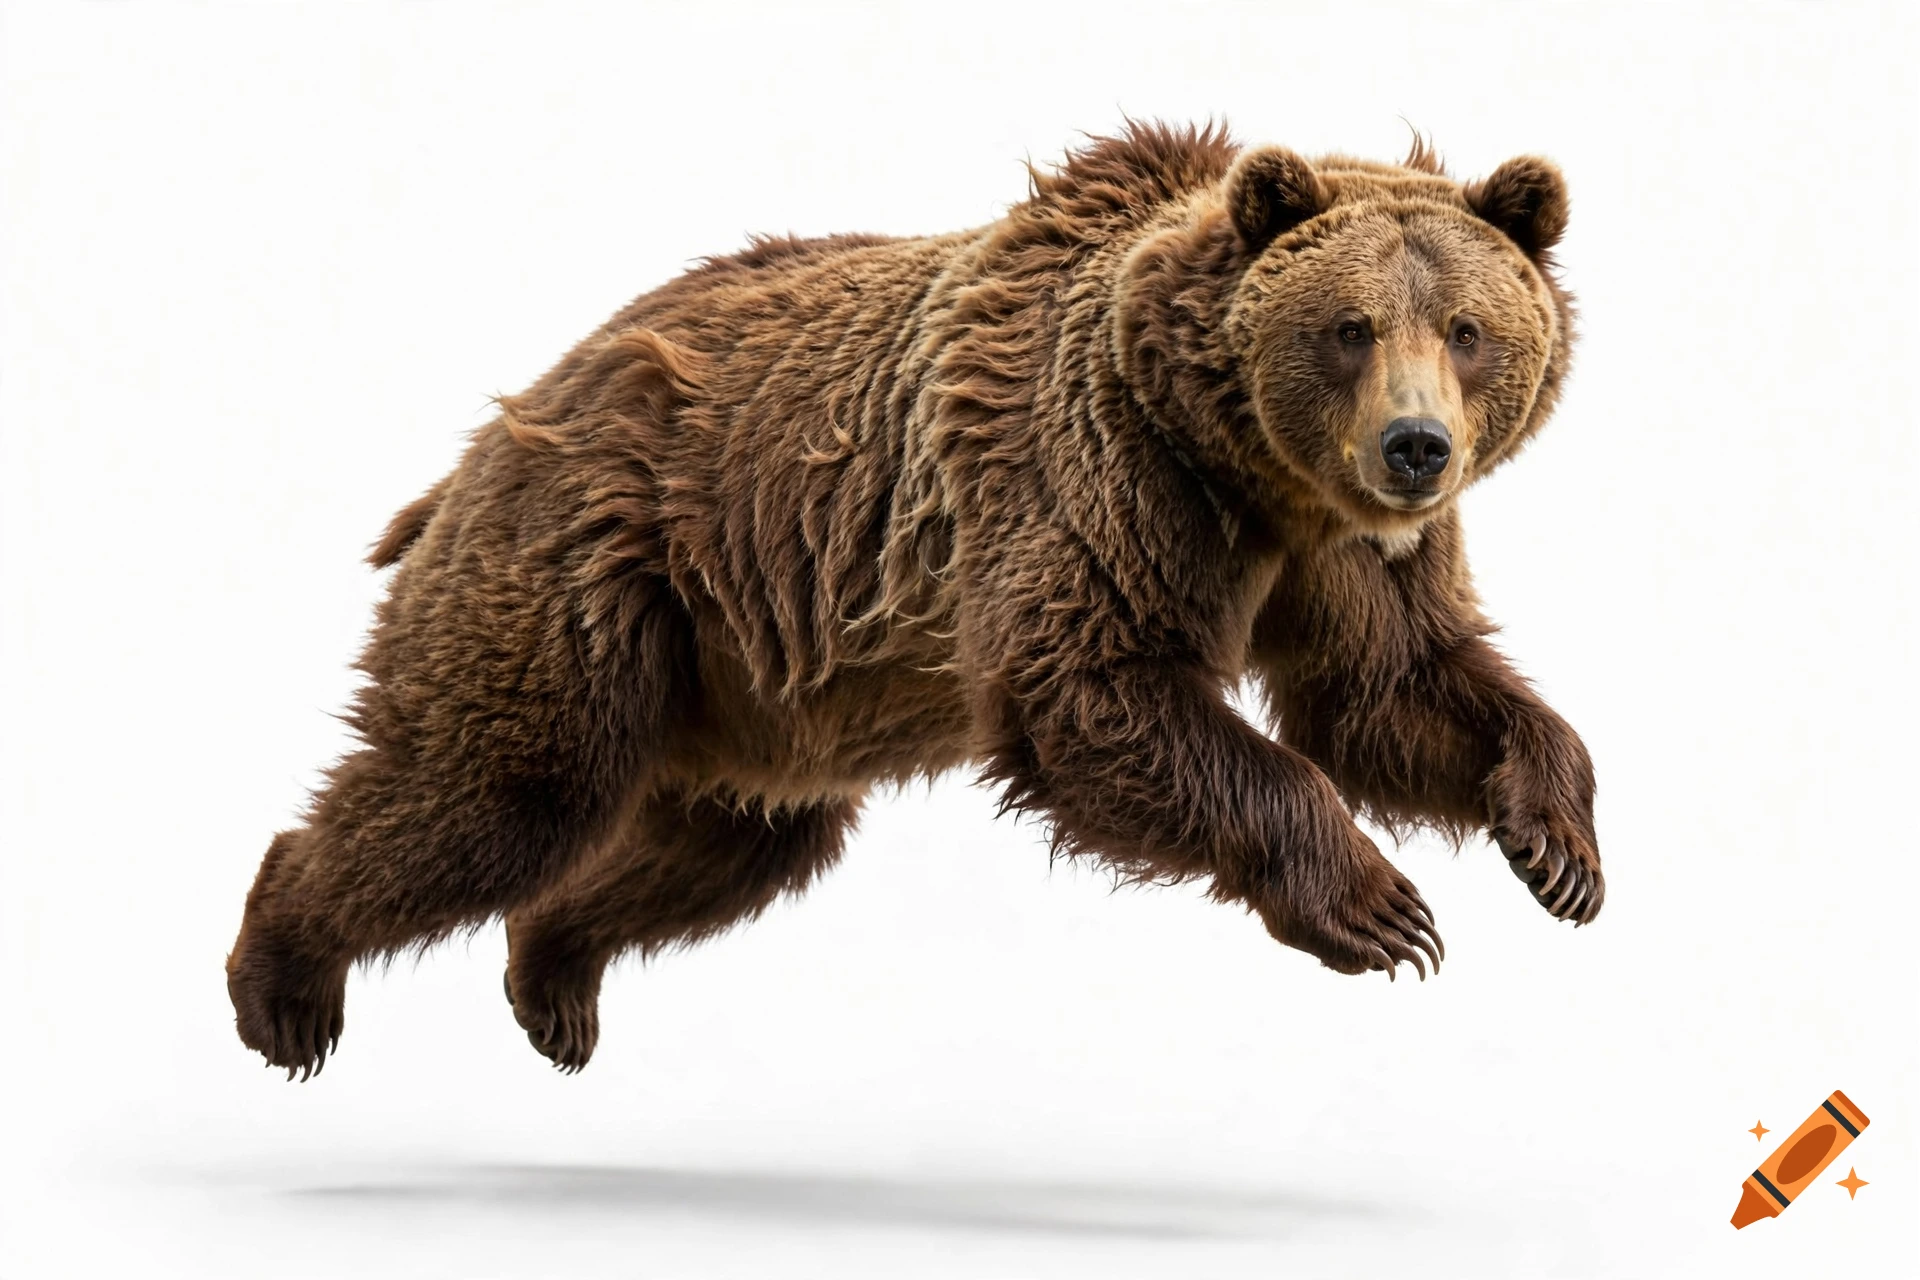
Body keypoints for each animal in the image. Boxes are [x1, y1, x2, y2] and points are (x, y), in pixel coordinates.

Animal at [227, 121, 1600, 1078]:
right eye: (1350, 326)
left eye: (1468, 327)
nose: (1417, 446)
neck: (1244, 462)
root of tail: (499, 426)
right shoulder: (1096, 474)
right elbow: (1097, 693)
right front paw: (1385, 908)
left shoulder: (1346, 549)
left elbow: (1388, 686)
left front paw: (1557, 843)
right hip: (592, 571)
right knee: (502, 787)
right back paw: (283, 986)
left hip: (740, 681)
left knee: (725, 845)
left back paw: (551, 979)